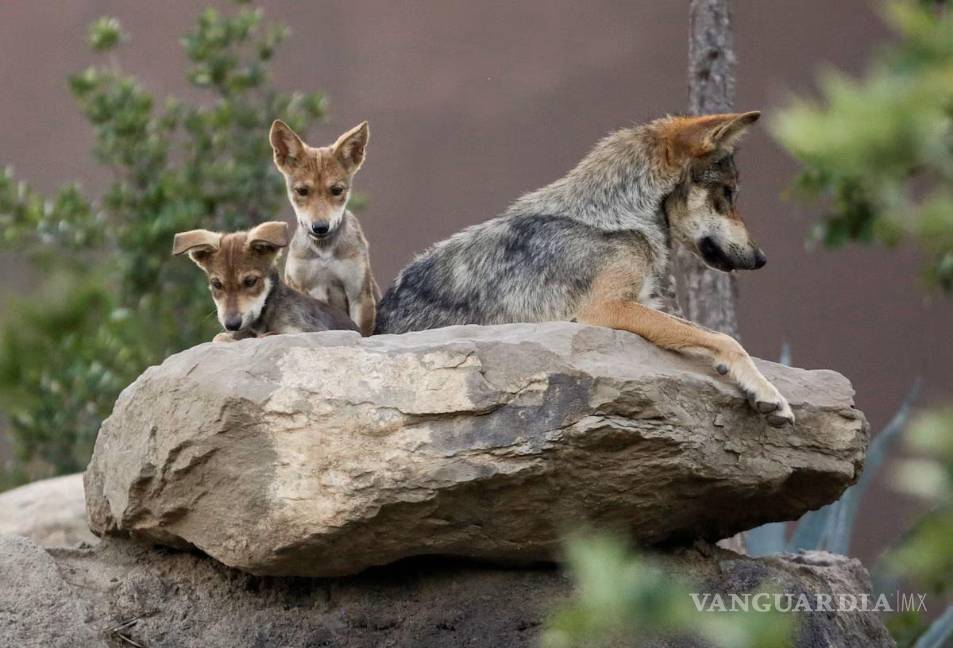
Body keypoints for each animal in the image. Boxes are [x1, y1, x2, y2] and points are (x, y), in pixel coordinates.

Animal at [173, 221, 358, 341]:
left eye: (250, 281)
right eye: (216, 284)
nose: (232, 324)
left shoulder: (307, 330)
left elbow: (270, 335)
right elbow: (220, 337)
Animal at [270, 120, 380, 336]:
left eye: (336, 190)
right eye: (302, 191)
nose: (320, 227)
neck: (324, 254)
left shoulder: (358, 294)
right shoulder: (301, 288)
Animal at [375, 112, 794, 426]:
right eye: (728, 194)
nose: (762, 259)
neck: (614, 215)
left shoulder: (648, 303)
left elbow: (711, 334)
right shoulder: (606, 309)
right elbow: (727, 339)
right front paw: (770, 394)